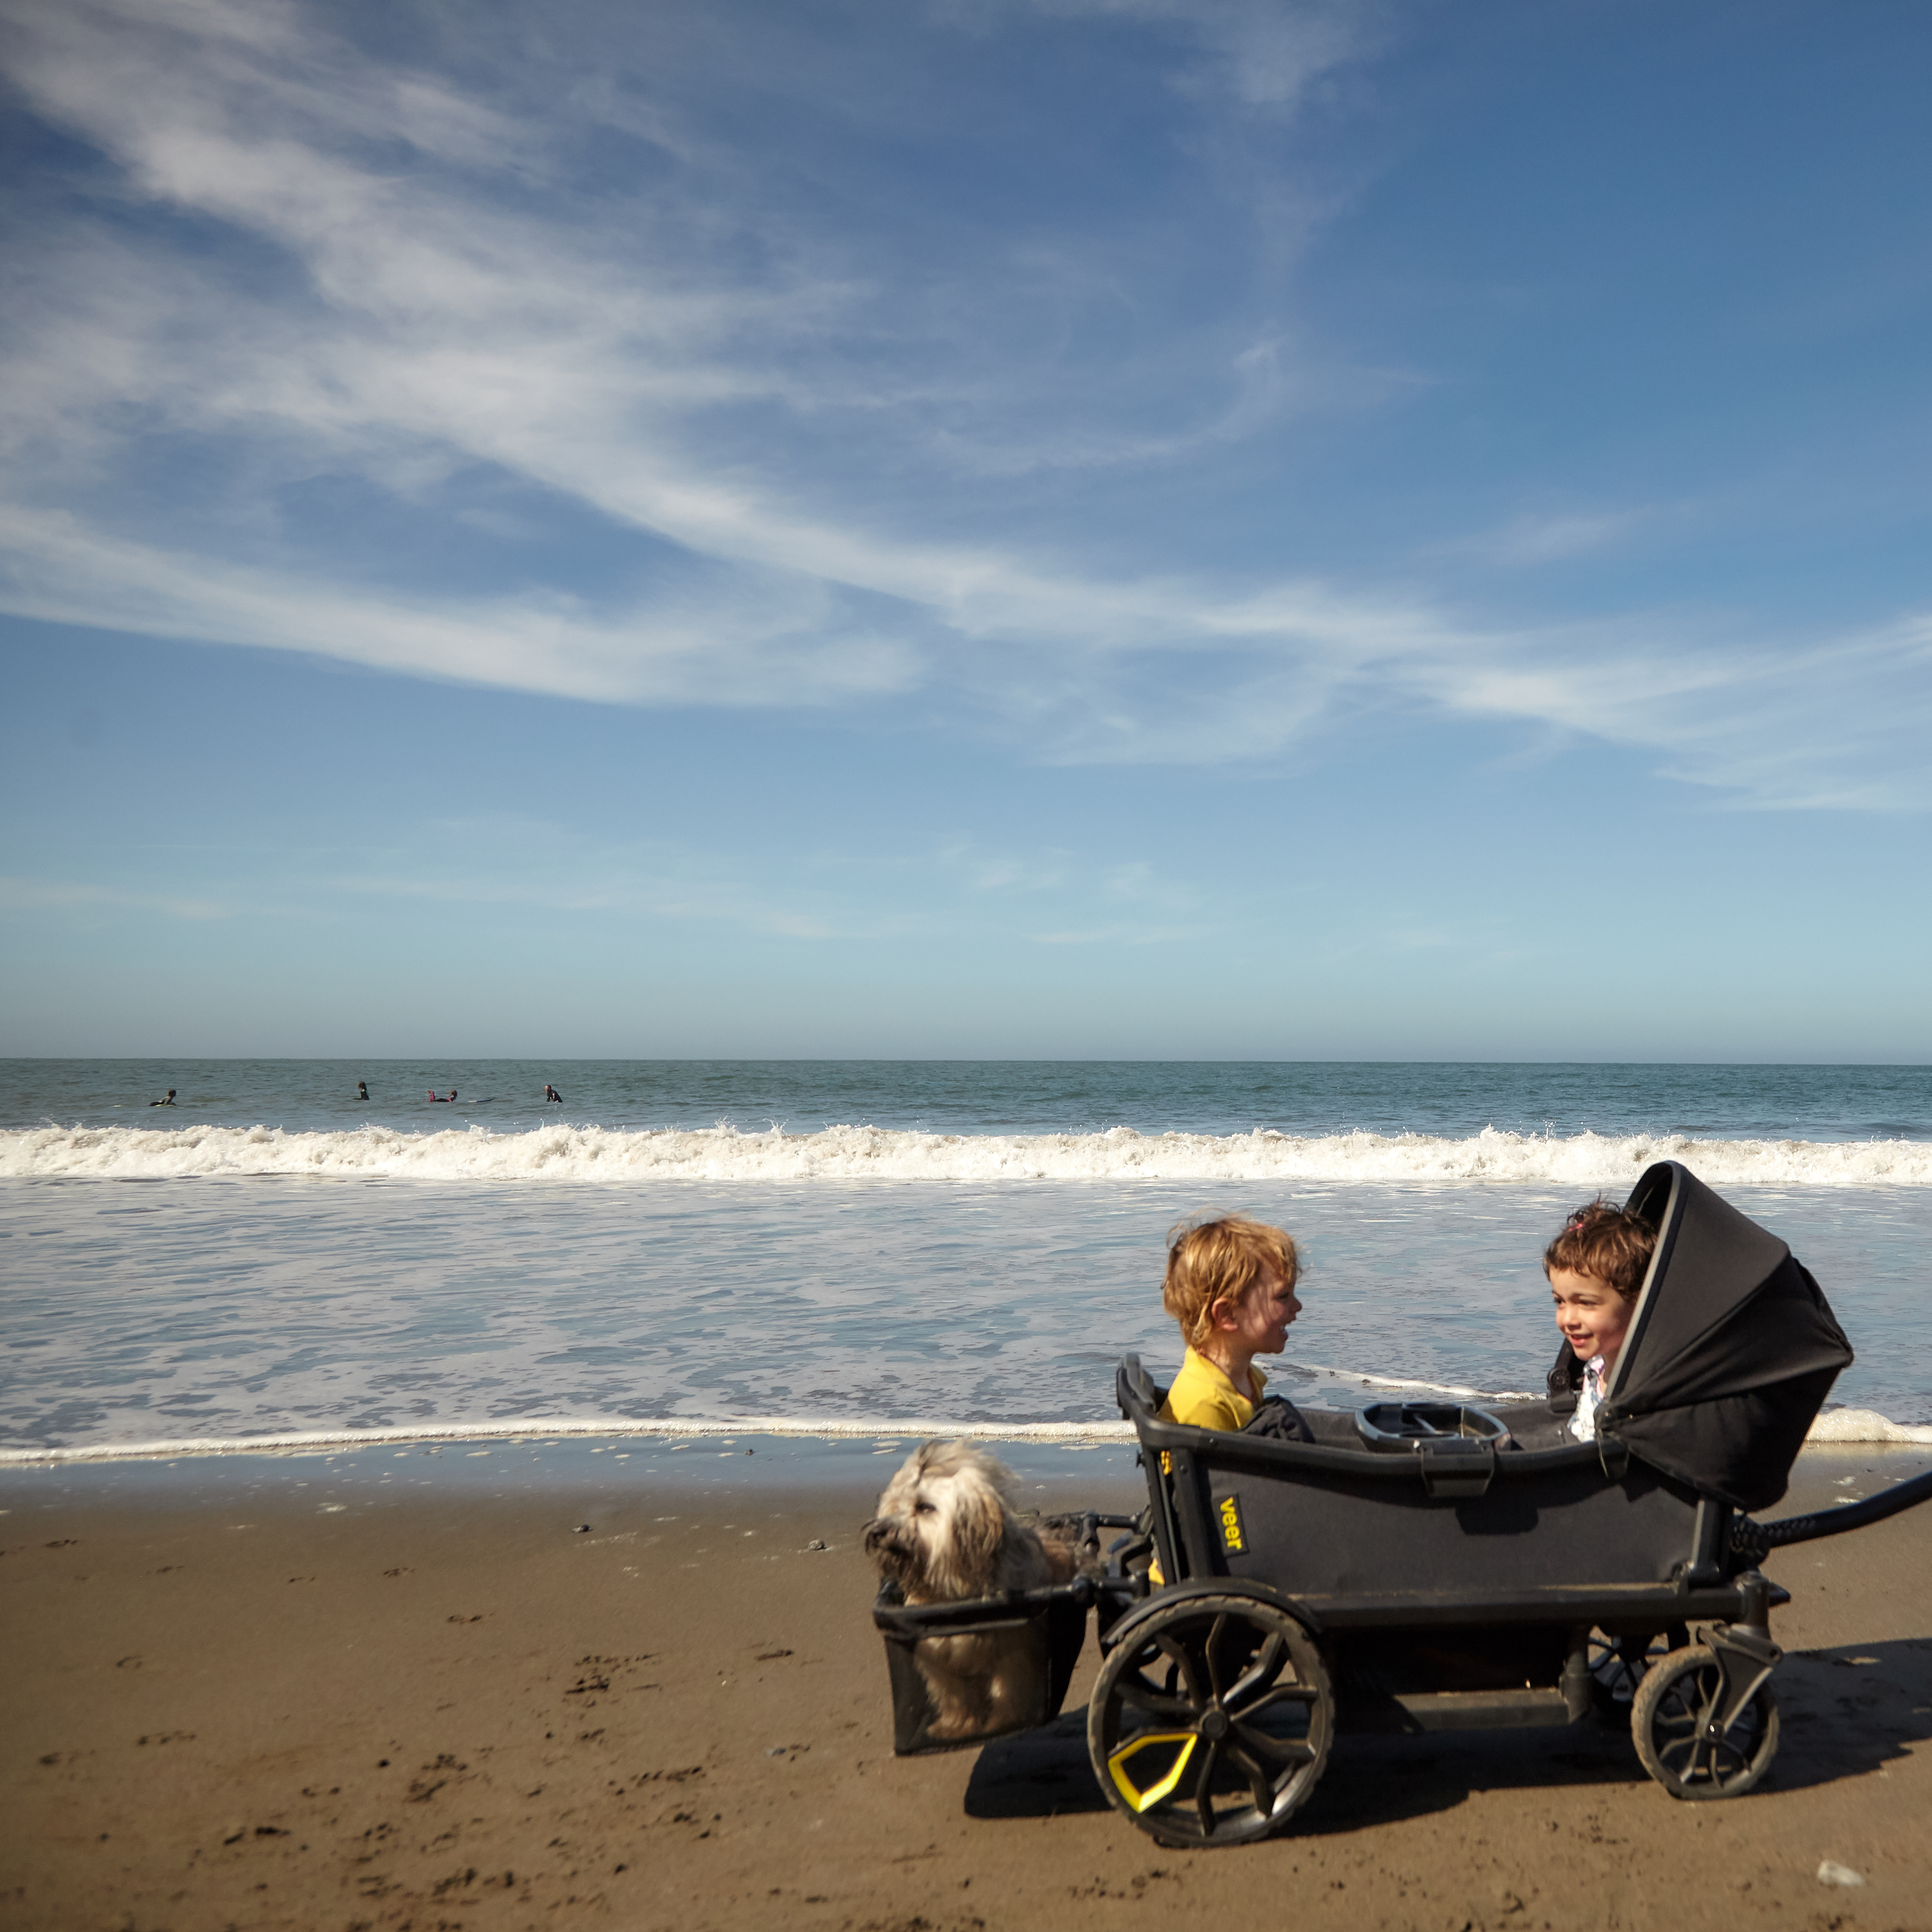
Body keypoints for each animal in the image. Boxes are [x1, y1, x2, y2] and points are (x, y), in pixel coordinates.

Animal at [865, 1445, 1082, 1746]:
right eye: (894, 1506)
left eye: (925, 1507)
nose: (878, 1531)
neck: (953, 1594)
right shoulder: (940, 1657)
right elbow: (957, 1695)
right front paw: (956, 1727)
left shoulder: (1015, 1651)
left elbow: (1007, 1690)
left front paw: (1002, 1723)